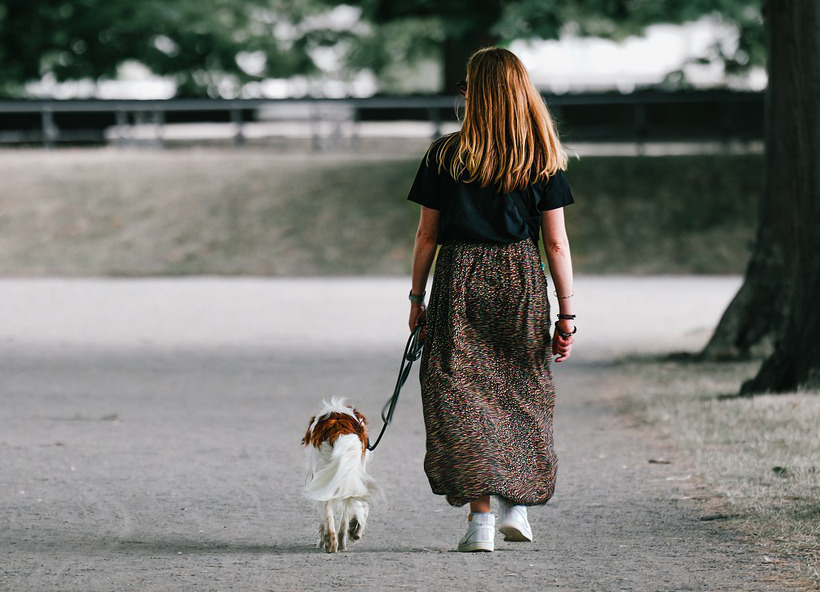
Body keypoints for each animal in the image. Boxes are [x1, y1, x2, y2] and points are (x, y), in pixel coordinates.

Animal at [302, 396, 382, 552]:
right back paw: (339, 541)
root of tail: (338, 425)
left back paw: (332, 541)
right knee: (344, 506)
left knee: (330, 507)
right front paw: (355, 528)